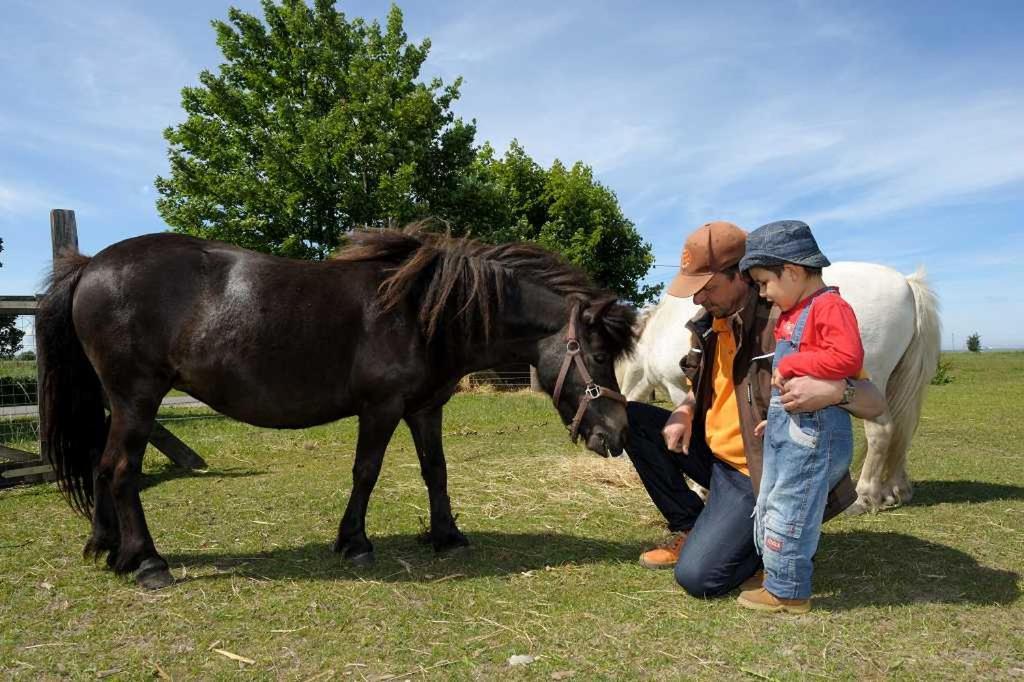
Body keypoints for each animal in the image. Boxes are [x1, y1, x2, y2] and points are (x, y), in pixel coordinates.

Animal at [37, 225, 630, 585]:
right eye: (599, 355)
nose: (620, 433)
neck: (425, 313)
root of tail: (91, 264)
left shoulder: (425, 408)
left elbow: (435, 471)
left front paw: (447, 536)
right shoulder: (381, 407)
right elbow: (366, 472)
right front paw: (354, 542)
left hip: (120, 404)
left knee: (99, 464)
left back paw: (106, 547)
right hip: (137, 399)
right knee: (120, 469)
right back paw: (147, 562)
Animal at [618, 262, 937, 512]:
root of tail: (907, 284)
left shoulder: (679, 387)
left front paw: (700, 488)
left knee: (882, 432)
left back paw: (864, 496)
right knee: (902, 430)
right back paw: (895, 489)